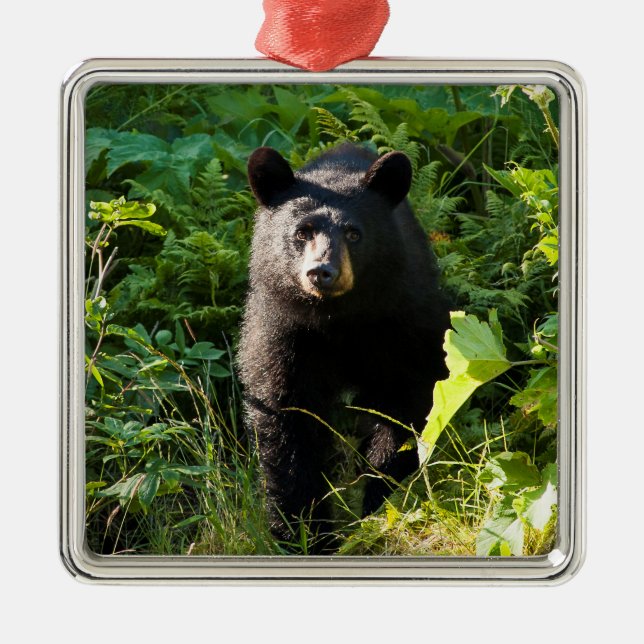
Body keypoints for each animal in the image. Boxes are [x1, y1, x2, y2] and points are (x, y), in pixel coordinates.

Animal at [238, 143, 450, 552]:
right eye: (302, 232)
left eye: (354, 233)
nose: (322, 272)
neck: (338, 318)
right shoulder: (282, 332)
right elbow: (286, 418)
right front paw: (304, 532)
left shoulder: (404, 323)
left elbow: (405, 403)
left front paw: (377, 503)